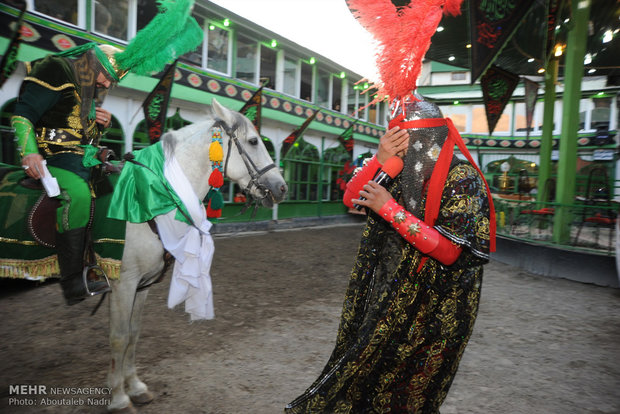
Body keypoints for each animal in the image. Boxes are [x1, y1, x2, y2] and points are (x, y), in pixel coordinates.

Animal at [107, 98, 288, 412]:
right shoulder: (123, 282)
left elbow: (133, 332)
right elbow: (119, 337)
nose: (282, 187)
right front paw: (119, 398)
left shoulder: (141, 284)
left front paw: (136, 387)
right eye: (253, 141)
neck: (146, 202)